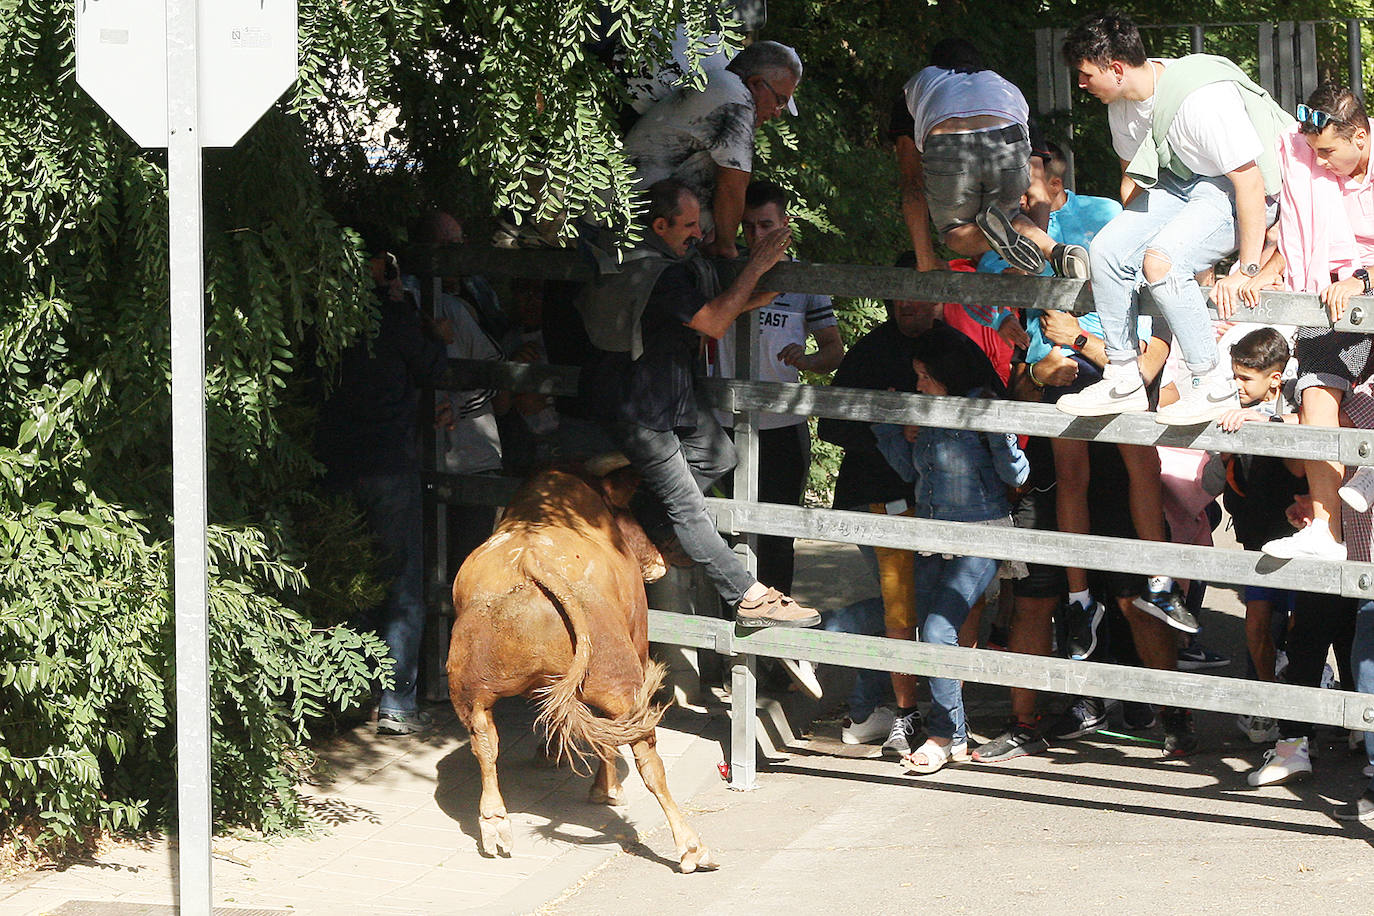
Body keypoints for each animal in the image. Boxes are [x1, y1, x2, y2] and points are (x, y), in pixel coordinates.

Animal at [447, 466, 714, 873]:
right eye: (631, 511)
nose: (658, 561)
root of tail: (529, 561)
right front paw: (606, 790)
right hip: (623, 681)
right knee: (645, 757)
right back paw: (691, 847)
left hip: (471, 687)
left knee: (485, 741)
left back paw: (494, 825)